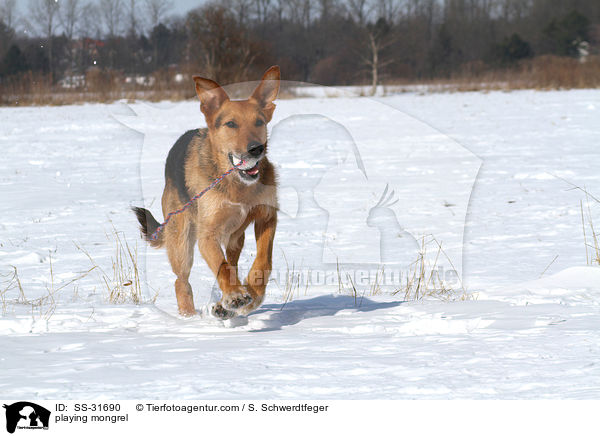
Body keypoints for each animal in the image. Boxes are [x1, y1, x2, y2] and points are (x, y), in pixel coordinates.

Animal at [134, 66, 278, 318]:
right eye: (231, 124)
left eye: (259, 122)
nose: (256, 149)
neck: (237, 184)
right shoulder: (207, 235)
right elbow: (222, 268)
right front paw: (235, 295)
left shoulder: (267, 217)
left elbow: (263, 261)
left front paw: (252, 294)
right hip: (181, 241)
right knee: (181, 281)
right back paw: (189, 317)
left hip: (235, 238)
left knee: (233, 261)